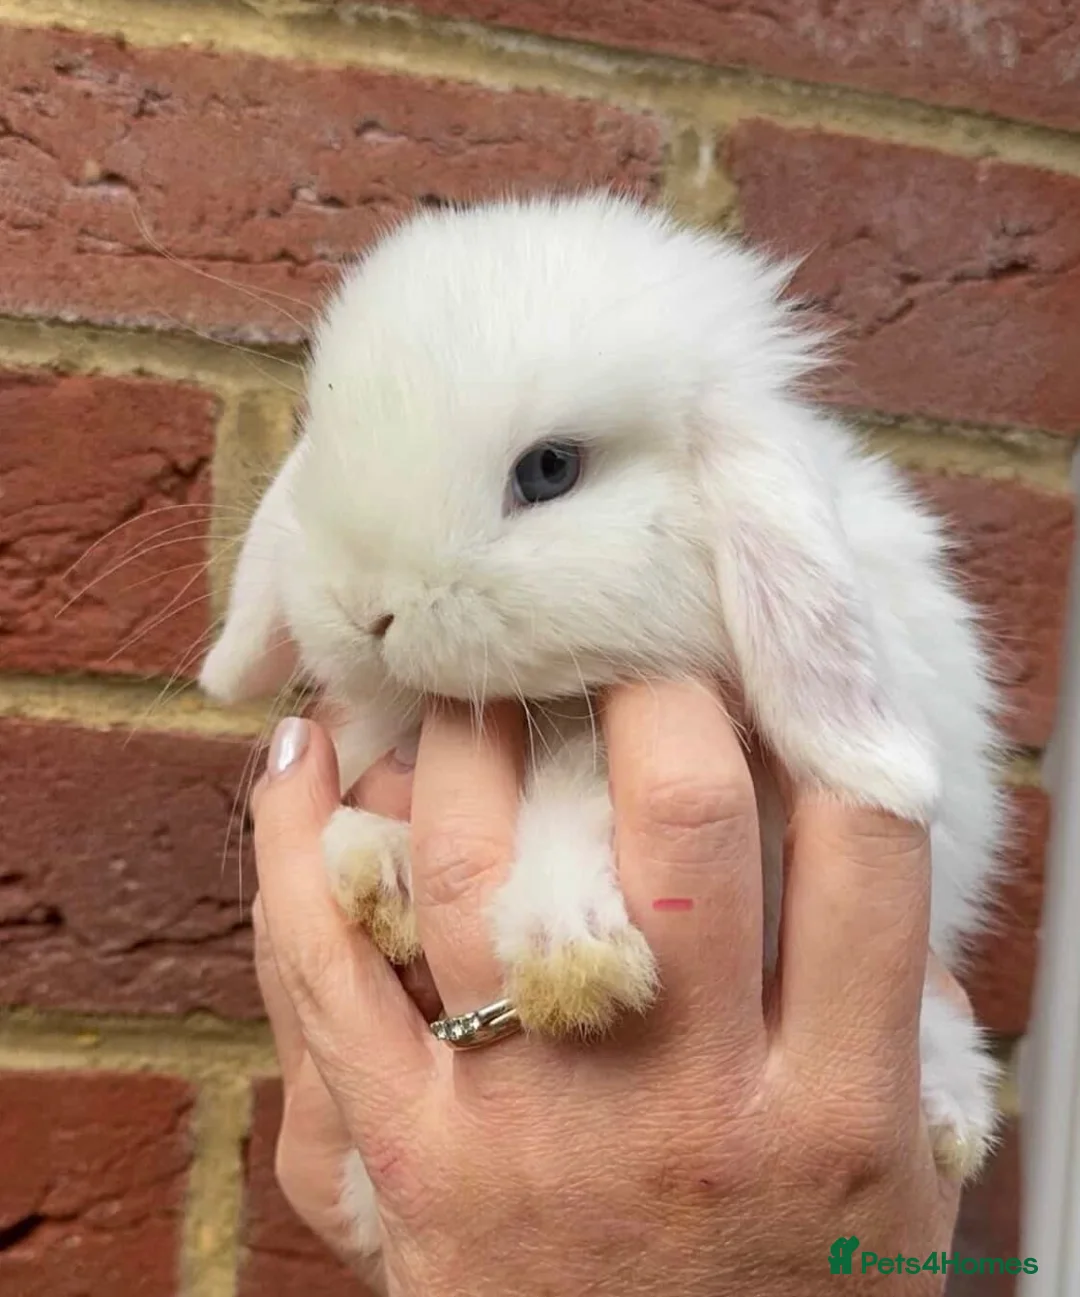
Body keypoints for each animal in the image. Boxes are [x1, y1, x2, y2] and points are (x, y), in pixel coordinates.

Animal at [200, 192, 1005, 1267]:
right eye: (321, 440)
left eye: (550, 469)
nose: (365, 608)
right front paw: (377, 868)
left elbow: (577, 789)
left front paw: (572, 960)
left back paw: (952, 1110)